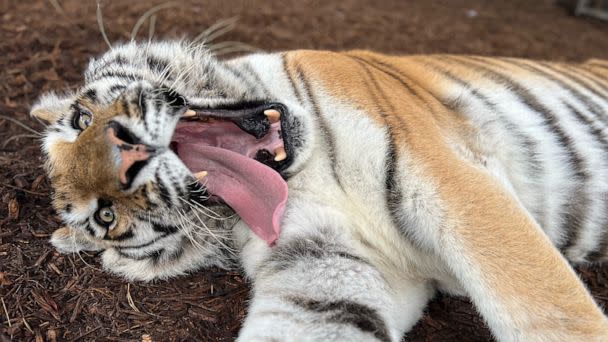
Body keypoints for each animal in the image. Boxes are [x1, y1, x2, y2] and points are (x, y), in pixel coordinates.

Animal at [30, 39, 608, 340]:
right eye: (106, 217)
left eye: (81, 119)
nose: (124, 161)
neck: (306, 175)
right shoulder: (329, 261)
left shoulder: (456, 180)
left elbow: (547, 309)